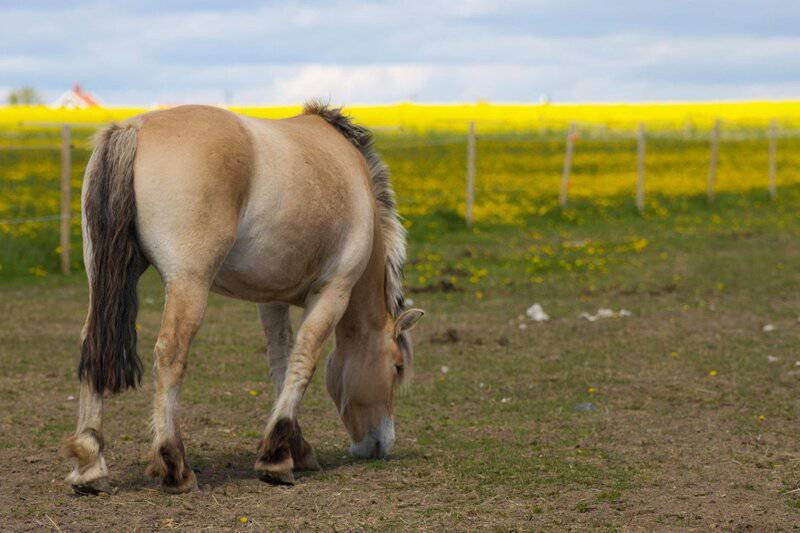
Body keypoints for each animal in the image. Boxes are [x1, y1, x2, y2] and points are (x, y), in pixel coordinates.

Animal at [62, 102, 425, 494]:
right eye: (397, 367)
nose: (380, 444)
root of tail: (136, 127)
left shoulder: (272, 299)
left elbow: (280, 362)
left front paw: (294, 447)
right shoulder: (333, 292)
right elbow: (304, 360)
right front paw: (276, 458)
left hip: (102, 282)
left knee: (92, 346)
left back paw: (90, 465)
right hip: (189, 283)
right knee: (171, 353)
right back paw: (174, 464)